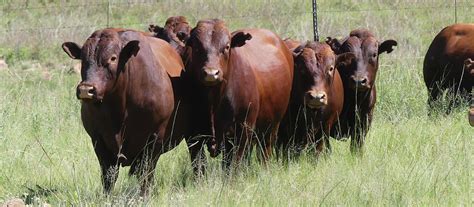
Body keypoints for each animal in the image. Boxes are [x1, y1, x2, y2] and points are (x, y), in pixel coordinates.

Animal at [61, 28, 183, 195]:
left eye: (113, 58)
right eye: (83, 58)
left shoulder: (155, 138)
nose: (86, 89)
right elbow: (109, 176)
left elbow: (146, 174)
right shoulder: (98, 140)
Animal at [184, 19, 292, 168]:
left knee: (265, 151)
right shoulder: (193, 136)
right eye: (196, 46)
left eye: (227, 46)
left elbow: (232, 166)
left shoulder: (241, 131)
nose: (211, 73)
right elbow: (199, 165)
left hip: (272, 127)